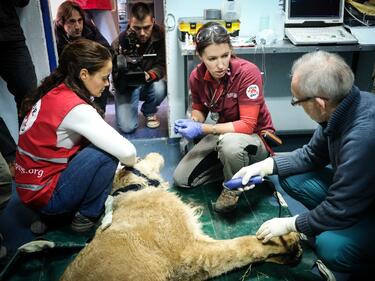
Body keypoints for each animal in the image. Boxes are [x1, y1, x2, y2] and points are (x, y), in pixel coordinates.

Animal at [61, 153, 302, 280]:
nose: (151, 154)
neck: (133, 189)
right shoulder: (191, 250)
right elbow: (242, 245)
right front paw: (287, 238)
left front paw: (287, 250)